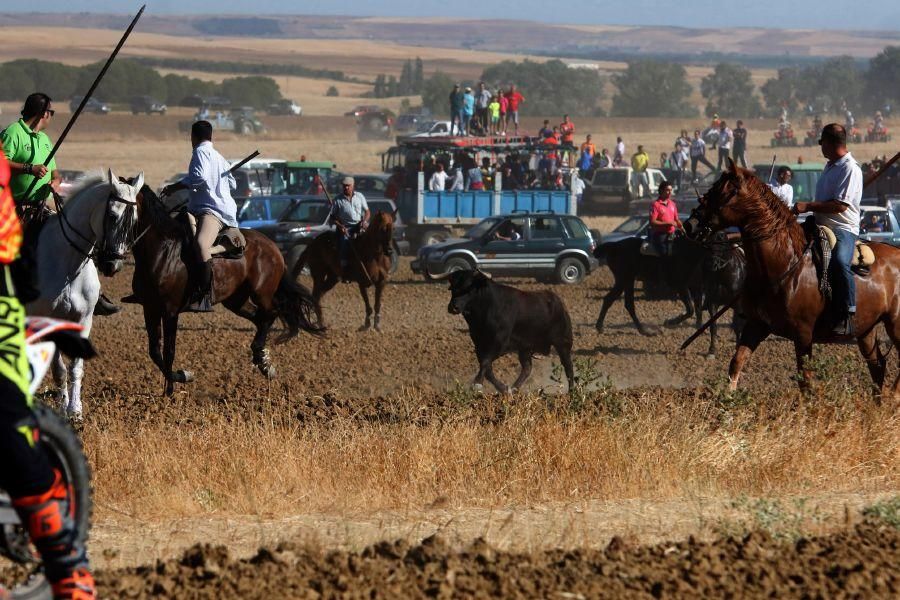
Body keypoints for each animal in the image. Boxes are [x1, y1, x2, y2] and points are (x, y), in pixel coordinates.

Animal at [28, 166, 143, 414]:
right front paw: (64, 406)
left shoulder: (83, 320)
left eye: (135, 221)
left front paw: (74, 409)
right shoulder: (49, 321)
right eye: (112, 216)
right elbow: (59, 369)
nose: (113, 265)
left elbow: (75, 367)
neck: (69, 263)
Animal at [126, 185, 324, 396]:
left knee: (271, 313)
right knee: (260, 318)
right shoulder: (150, 308)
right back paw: (262, 361)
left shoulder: (170, 311)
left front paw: (174, 386)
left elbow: (168, 352)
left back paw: (261, 358)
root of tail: (272, 246)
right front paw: (176, 381)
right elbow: (155, 351)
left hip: (261, 293)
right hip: (235, 300)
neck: (163, 251)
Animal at [428, 268, 568, 392]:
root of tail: (555, 299)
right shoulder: (479, 345)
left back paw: (571, 391)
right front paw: (504, 389)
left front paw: (477, 384)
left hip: (563, 342)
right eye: (452, 288)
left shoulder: (500, 344)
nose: (453, 307)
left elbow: (485, 363)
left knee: (568, 368)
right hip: (525, 349)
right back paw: (514, 389)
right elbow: (487, 368)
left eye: (469, 288)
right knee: (527, 368)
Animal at [684, 162, 900, 400]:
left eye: (720, 192)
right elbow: (736, 361)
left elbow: (805, 380)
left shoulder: (803, 334)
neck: (785, 263)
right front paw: (728, 399)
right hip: (866, 328)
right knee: (877, 365)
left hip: (895, 324)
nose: (690, 225)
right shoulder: (757, 324)